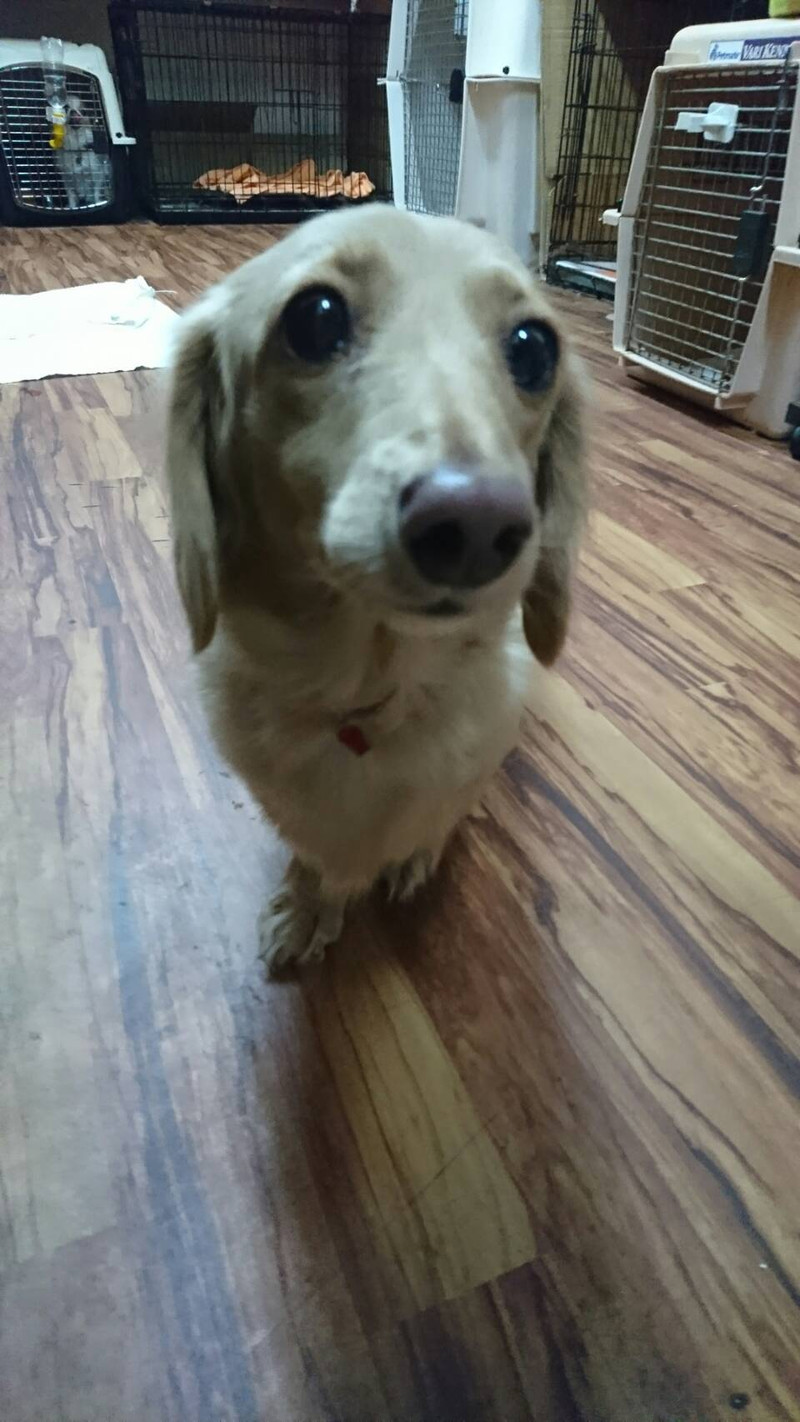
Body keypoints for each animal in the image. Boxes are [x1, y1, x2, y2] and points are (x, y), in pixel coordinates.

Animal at [166, 206, 586, 974]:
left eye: (534, 347)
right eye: (315, 317)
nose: (477, 525)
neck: (367, 693)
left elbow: (434, 820)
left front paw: (413, 855)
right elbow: (314, 857)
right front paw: (308, 903)